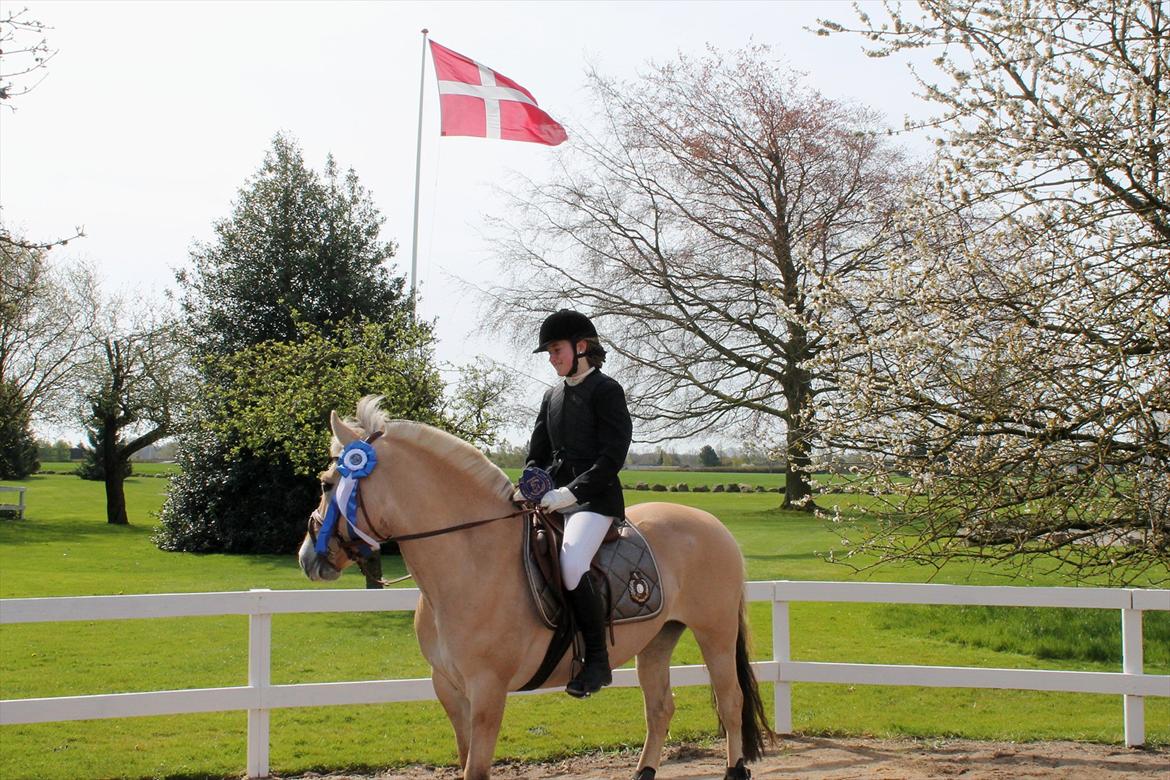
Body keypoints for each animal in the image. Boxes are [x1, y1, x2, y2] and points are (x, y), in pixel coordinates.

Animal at [299, 399, 767, 776]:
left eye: (325, 483)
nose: (307, 557)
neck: (470, 559)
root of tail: (713, 524)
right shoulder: (449, 688)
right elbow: (463, 759)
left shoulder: (487, 691)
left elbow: (476, 770)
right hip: (658, 639)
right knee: (660, 707)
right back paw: (644, 772)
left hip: (714, 633)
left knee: (730, 701)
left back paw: (734, 770)